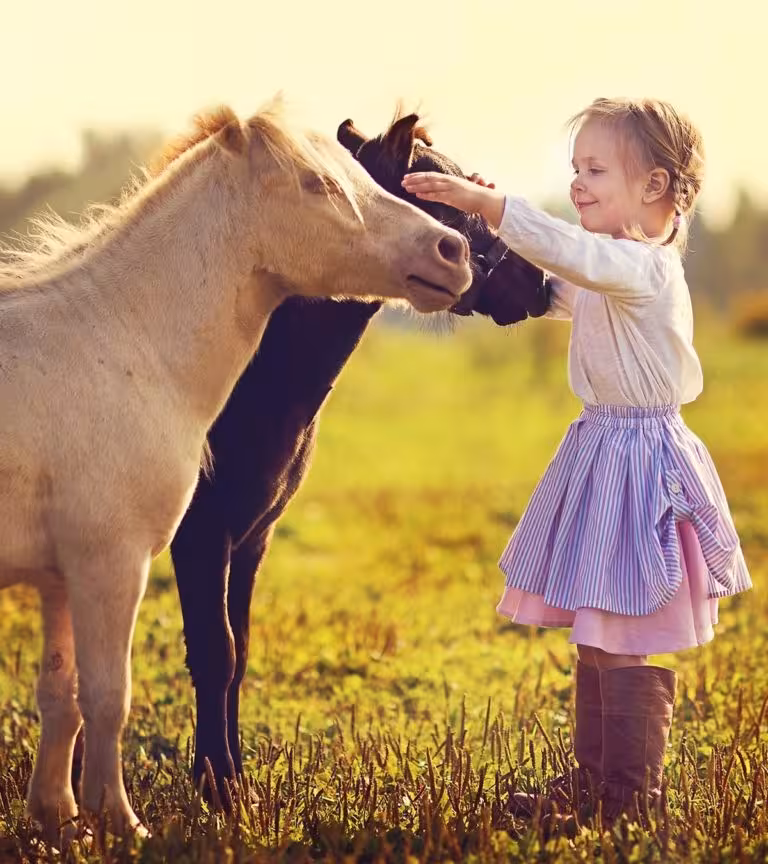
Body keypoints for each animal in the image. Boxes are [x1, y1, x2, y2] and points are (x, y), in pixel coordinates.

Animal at [0, 102, 473, 841]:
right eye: (320, 184)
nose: (453, 253)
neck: (120, 342)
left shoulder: (61, 576)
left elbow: (61, 694)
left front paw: (58, 817)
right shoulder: (115, 563)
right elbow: (111, 695)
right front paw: (123, 823)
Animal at [168, 111, 552, 800]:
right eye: (446, 199)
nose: (536, 281)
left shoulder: (250, 537)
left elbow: (239, 652)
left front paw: (234, 777)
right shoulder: (203, 535)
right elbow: (213, 654)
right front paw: (217, 791)